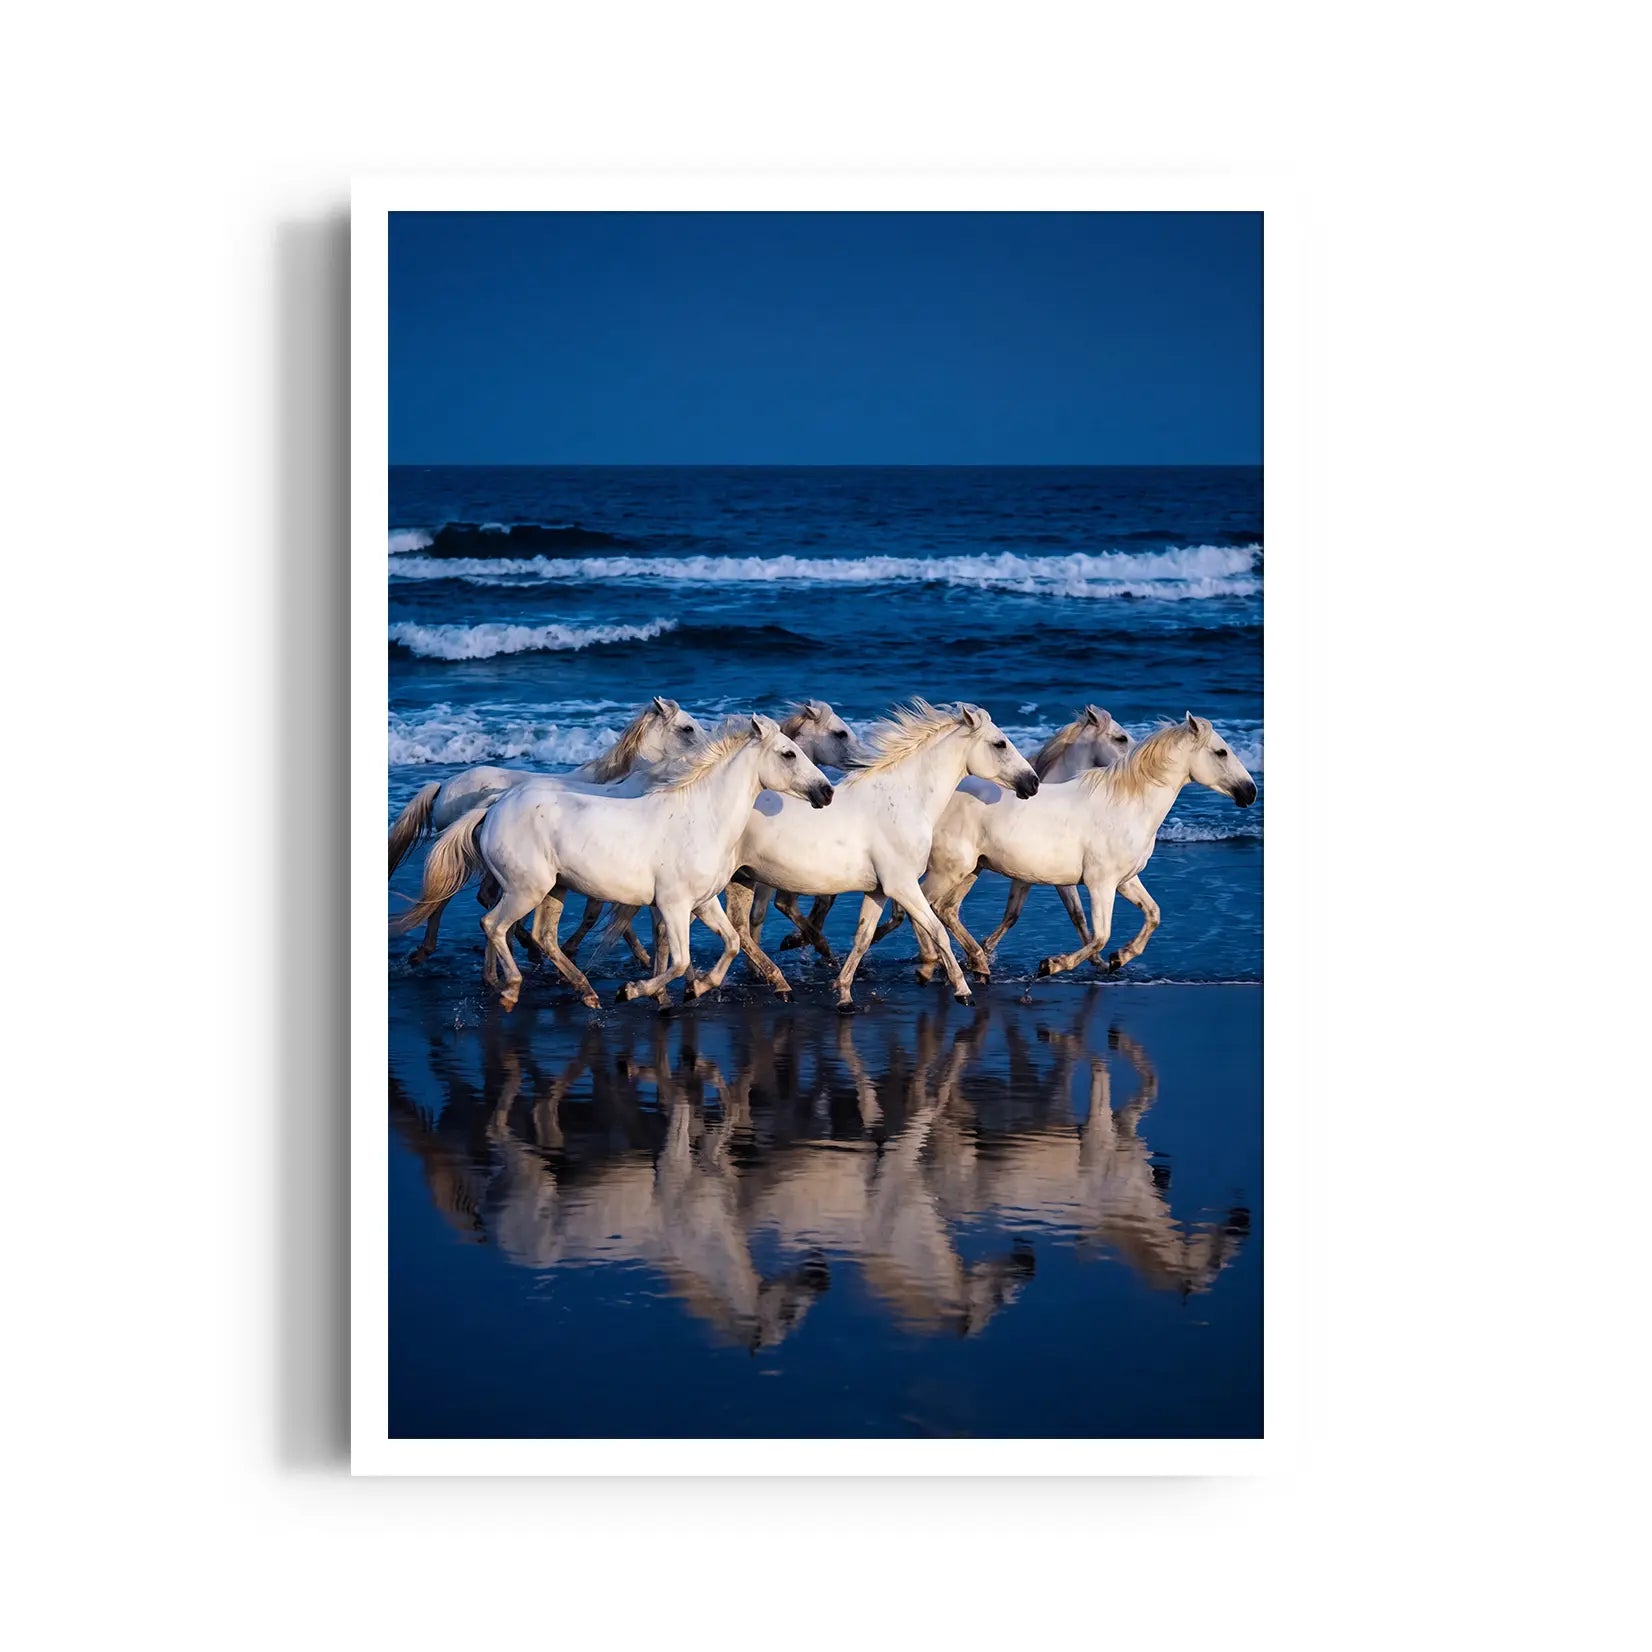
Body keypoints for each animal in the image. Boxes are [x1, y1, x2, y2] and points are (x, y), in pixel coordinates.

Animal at [394, 715, 834, 1012]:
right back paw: (510, 988)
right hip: (525, 889)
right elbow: (679, 961)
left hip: (553, 888)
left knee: (544, 937)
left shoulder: (703, 902)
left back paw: (586, 993)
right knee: (493, 924)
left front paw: (696, 988)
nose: (826, 792)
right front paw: (635, 990)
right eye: (788, 753)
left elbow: (729, 945)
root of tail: (494, 806)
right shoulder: (672, 905)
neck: (701, 816)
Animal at [721, 701, 1040, 1011]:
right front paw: (963, 991)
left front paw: (844, 995)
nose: (1033, 782)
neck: (902, 800)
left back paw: (772, 982)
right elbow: (938, 931)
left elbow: (863, 939)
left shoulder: (878, 891)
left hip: (742, 879)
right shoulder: (903, 886)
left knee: (740, 930)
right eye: (1000, 743)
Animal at [906, 713, 1257, 983]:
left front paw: (1120, 957)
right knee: (922, 906)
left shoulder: (1125, 881)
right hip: (949, 870)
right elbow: (1099, 933)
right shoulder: (1100, 883)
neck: (1128, 805)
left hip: (970, 870)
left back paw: (974, 963)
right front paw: (1053, 965)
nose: (1250, 791)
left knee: (943, 909)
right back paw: (932, 964)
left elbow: (1153, 914)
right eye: (1221, 752)